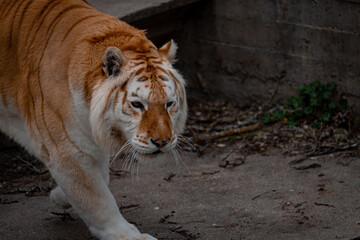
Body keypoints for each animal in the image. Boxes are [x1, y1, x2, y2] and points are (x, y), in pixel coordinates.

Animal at [0, 0, 187, 240]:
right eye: (137, 104)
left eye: (169, 103)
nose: (162, 142)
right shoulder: (67, 149)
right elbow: (97, 199)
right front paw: (129, 235)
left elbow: (100, 179)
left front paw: (60, 196)